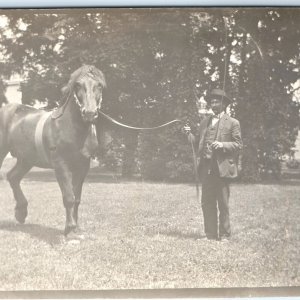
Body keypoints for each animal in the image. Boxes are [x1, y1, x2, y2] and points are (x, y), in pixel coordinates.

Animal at [0, 65, 106, 237]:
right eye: (77, 85)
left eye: (99, 85)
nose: (89, 113)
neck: (70, 128)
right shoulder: (60, 165)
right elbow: (69, 197)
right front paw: (69, 228)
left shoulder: (83, 166)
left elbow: (76, 198)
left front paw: (76, 227)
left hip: (26, 159)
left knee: (13, 176)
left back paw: (21, 212)